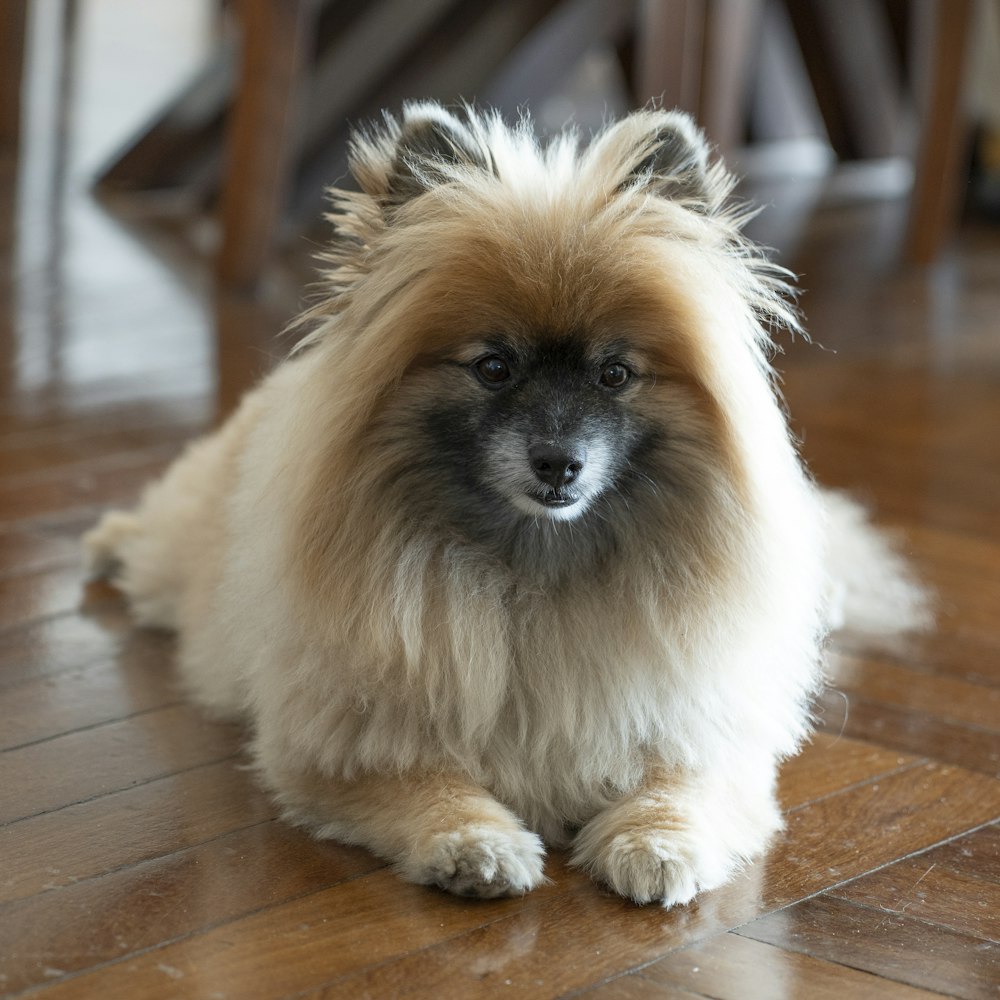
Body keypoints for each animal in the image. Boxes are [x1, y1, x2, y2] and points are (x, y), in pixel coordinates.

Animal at [82, 103, 924, 908]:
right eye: (493, 367)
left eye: (615, 374)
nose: (557, 460)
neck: (536, 567)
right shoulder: (341, 743)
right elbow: (425, 784)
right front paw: (474, 844)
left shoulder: (700, 727)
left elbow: (680, 785)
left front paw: (656, 844)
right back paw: (103, 544)